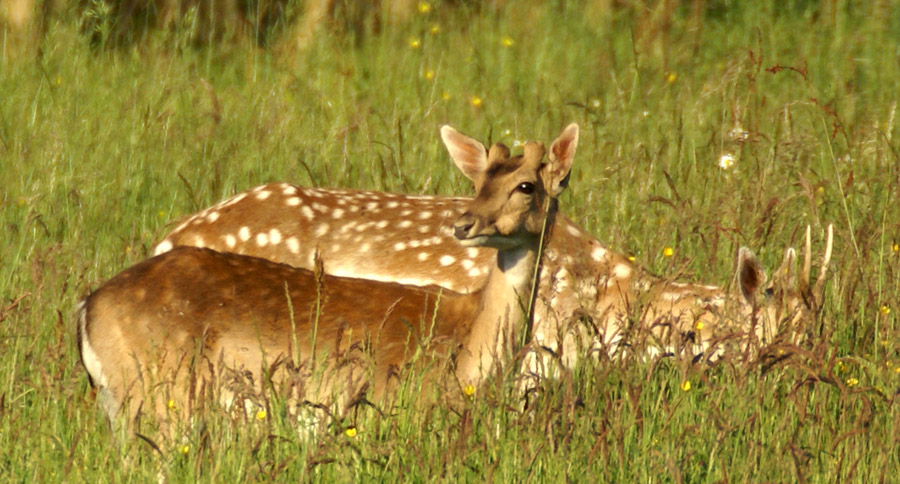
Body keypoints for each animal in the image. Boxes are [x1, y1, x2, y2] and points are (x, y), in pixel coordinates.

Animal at [81, 124, 580, 432]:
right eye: (477, 184)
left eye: (525, 186)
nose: (464, 224)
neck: (470, 352)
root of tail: (87, 309)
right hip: (158, 395)